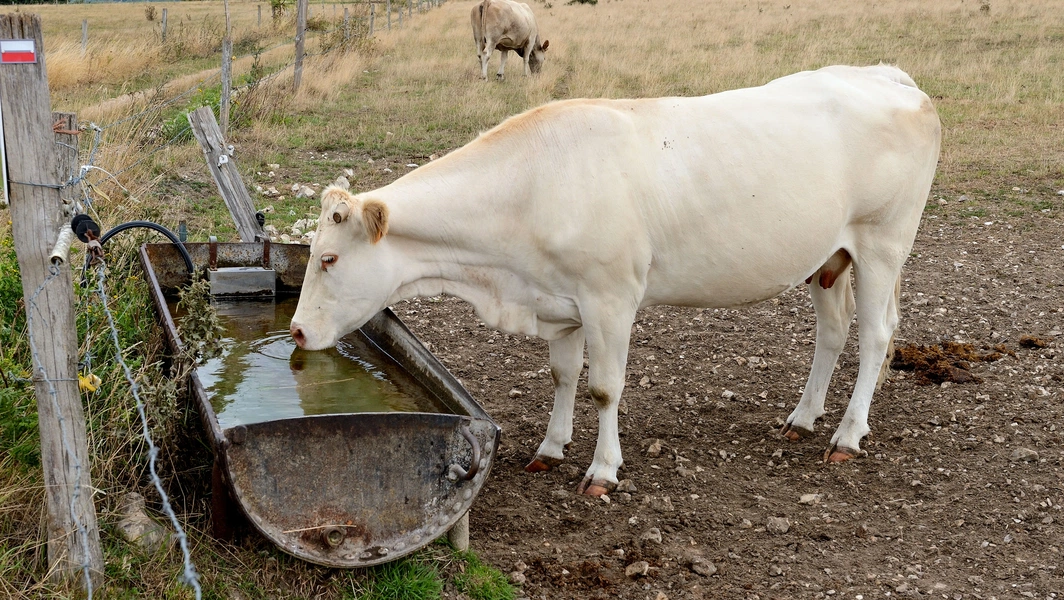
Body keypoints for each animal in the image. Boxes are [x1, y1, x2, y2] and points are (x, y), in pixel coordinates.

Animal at [290, 65, 941, 497]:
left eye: (328, 260)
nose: (295, 331)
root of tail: (889, 76)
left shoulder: (611, 298)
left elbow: (604, 388)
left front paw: (602, 471)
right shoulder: (560, 300)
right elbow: (562, 375)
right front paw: (550, 449)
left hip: (883, 243)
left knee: (875, 336)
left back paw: (847, 437)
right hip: (828, 258)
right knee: (833, 333)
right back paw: (803, 419)